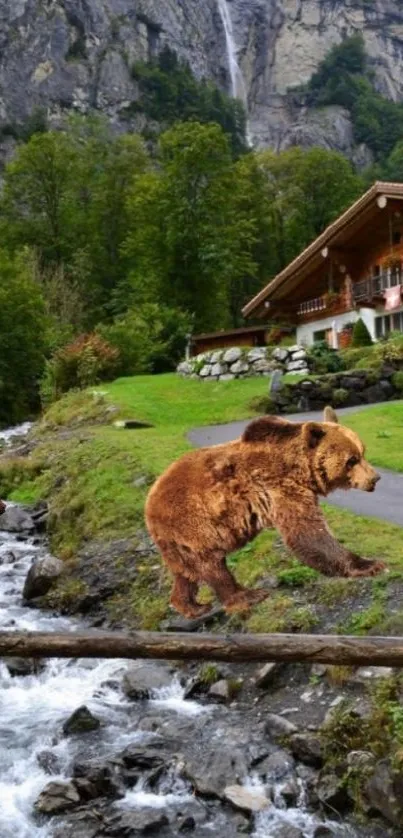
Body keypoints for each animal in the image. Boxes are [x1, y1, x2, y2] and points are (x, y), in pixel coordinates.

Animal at [147, 410, 386, 620]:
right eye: (351, 460)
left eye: (362, 452)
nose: (375, 478)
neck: (300, 469)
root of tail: (150, 499)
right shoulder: (279, 486)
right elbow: (308, 533)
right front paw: (370, 564)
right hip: (193, 523)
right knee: (212, 566)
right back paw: (249, 596)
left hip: (178, 541)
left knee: (186, 573)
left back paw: (192, 606)